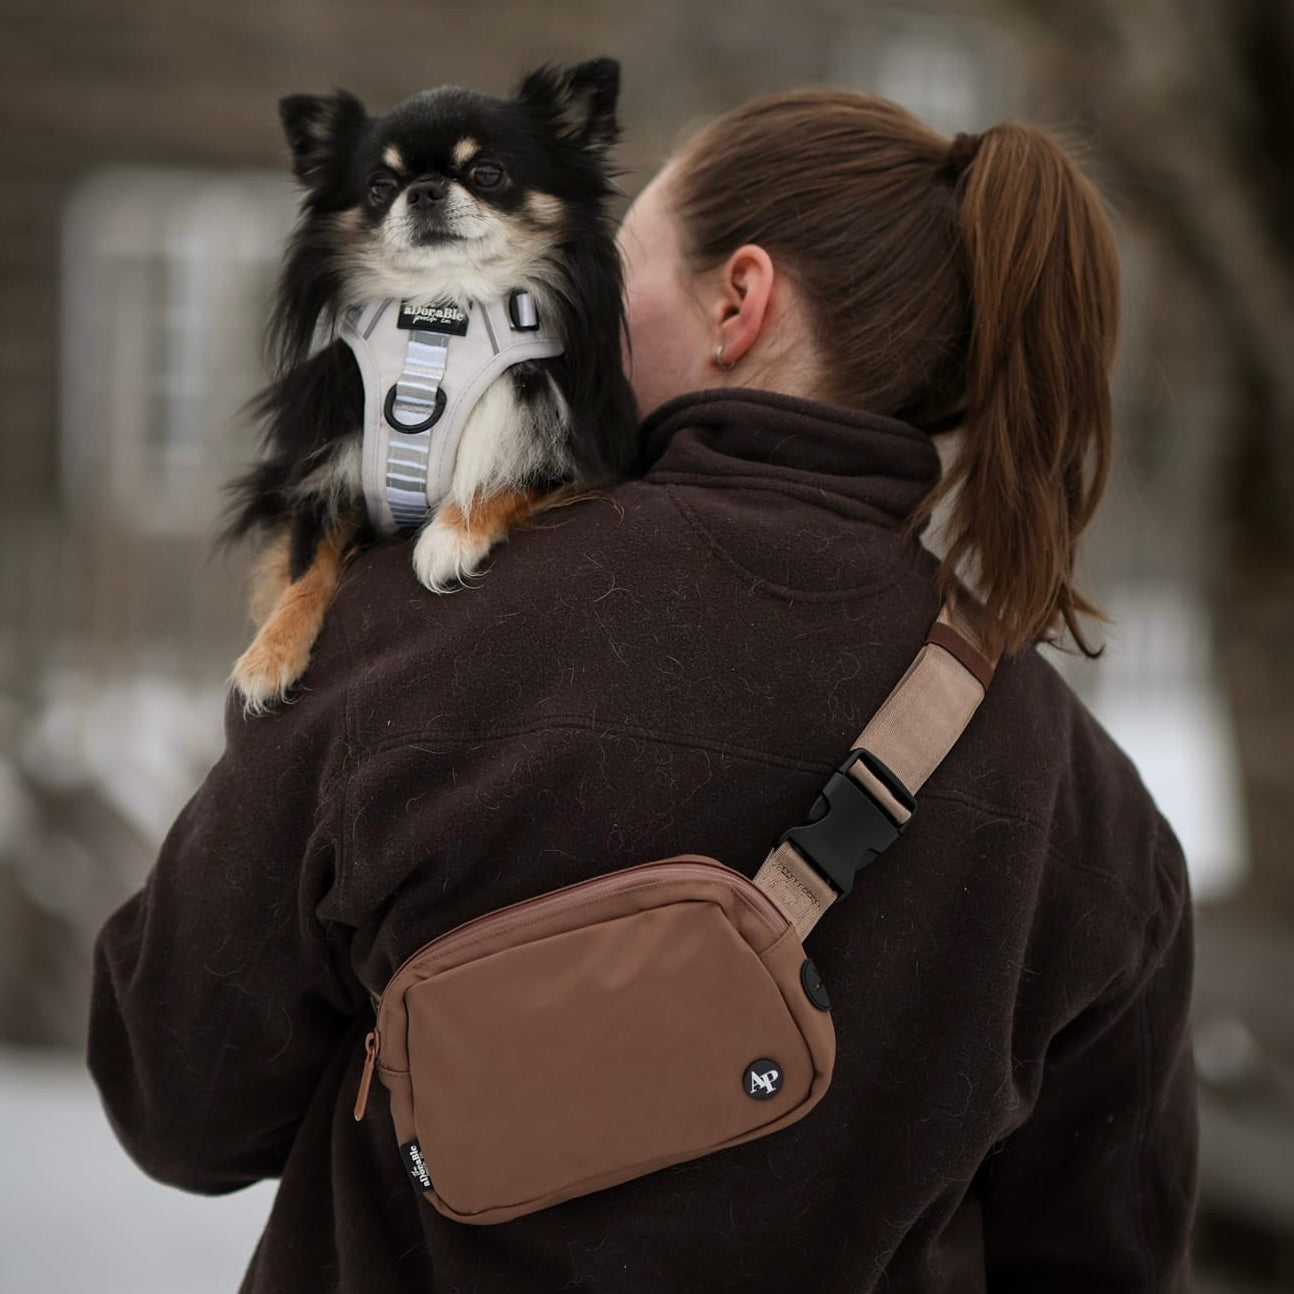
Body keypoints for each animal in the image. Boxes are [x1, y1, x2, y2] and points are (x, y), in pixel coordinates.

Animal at [229, 58, 641, 709]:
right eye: (379, 185)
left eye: (487, 172)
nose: (422, 189)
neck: (440, 318)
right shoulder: (329, 467)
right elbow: (306, 559)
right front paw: (269, 652)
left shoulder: (580, 453)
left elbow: (508, 479)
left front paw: (447, 538)